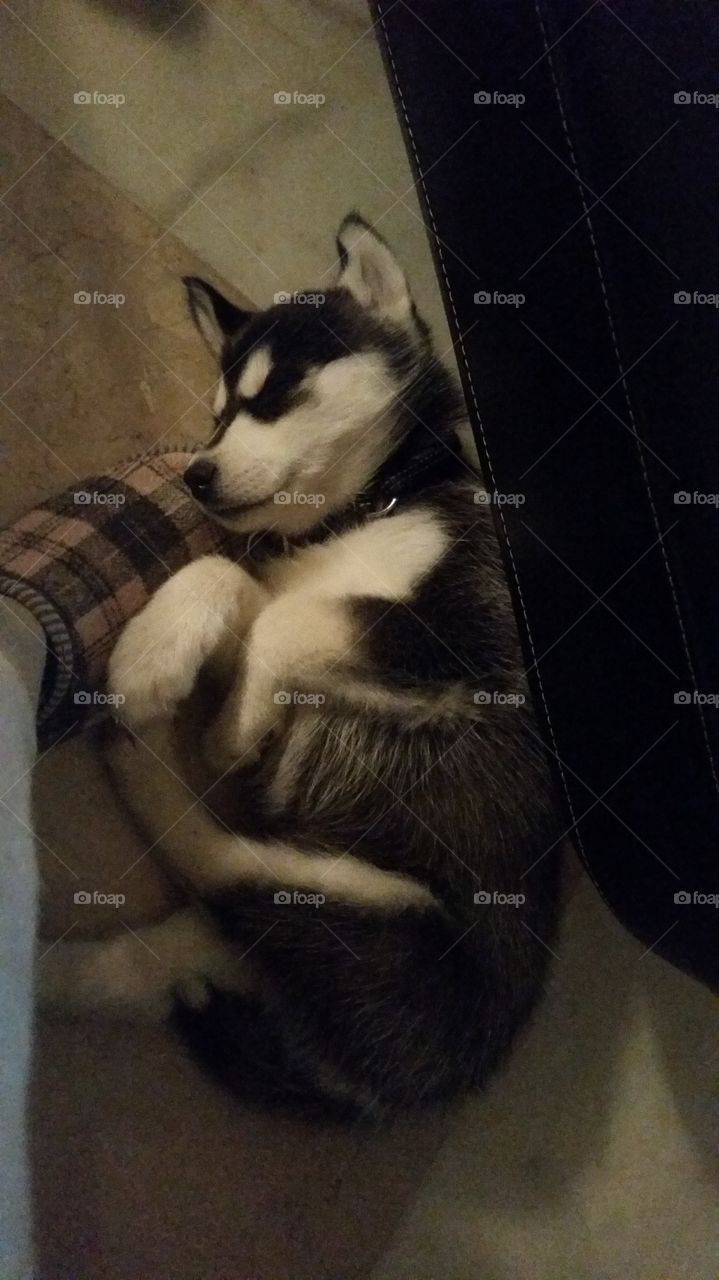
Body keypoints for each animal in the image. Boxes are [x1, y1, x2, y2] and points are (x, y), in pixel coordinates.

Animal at [40, 215, 560, 1116]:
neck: (370, 510)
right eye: (216, 416)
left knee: (205, 855)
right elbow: (231, 580)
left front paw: (222, 723)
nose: (196, 475)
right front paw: (162, 646)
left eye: (276, 393)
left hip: (342, 903)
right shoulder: (289, 586)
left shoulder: (471, 640)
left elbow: (283, 615)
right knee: (141, 957)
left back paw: (141, 757)